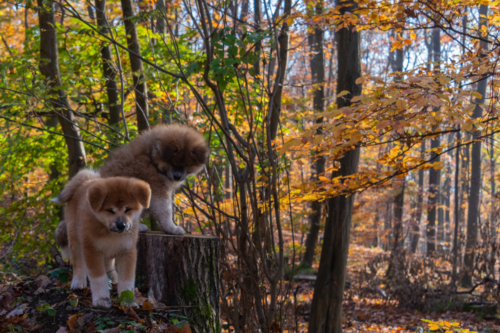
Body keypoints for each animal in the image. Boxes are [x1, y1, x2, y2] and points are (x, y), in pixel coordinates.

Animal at [53, 170, 150, 308]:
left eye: (128, 209)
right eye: (110, 210)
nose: (121, 225)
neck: (110, 232)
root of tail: (84, 182)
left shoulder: (127, 251)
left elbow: (127, 279)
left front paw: (128, 301)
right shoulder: (92, 249)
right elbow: (99, 278)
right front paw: (101, 299)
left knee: (109, 265)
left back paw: (114, 279)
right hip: (75, 240)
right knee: (78, 262)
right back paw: (78, 282)